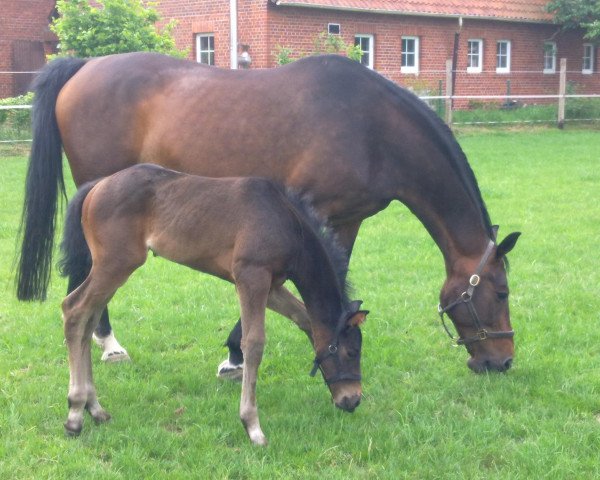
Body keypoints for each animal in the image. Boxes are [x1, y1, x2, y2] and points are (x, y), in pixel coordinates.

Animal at [17, 53, 516, 376]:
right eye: (502, 292)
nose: (502, 361)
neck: (374, 127)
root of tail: (84, 66)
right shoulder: (314, 213)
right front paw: (235, 354)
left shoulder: (346, 219)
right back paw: (106, 344)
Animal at [57, 163, 366, 444]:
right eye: (351, 352)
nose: (352, 400)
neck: (287, 221)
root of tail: (97, 186)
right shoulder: (251, 276)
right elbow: (254, 343)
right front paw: (252, 426)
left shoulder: (272, 286)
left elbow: (303, 318)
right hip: (116, 264)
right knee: (74, 310)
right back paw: (75, 413)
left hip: (111, 269)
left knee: (88, 320)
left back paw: (95, 408)